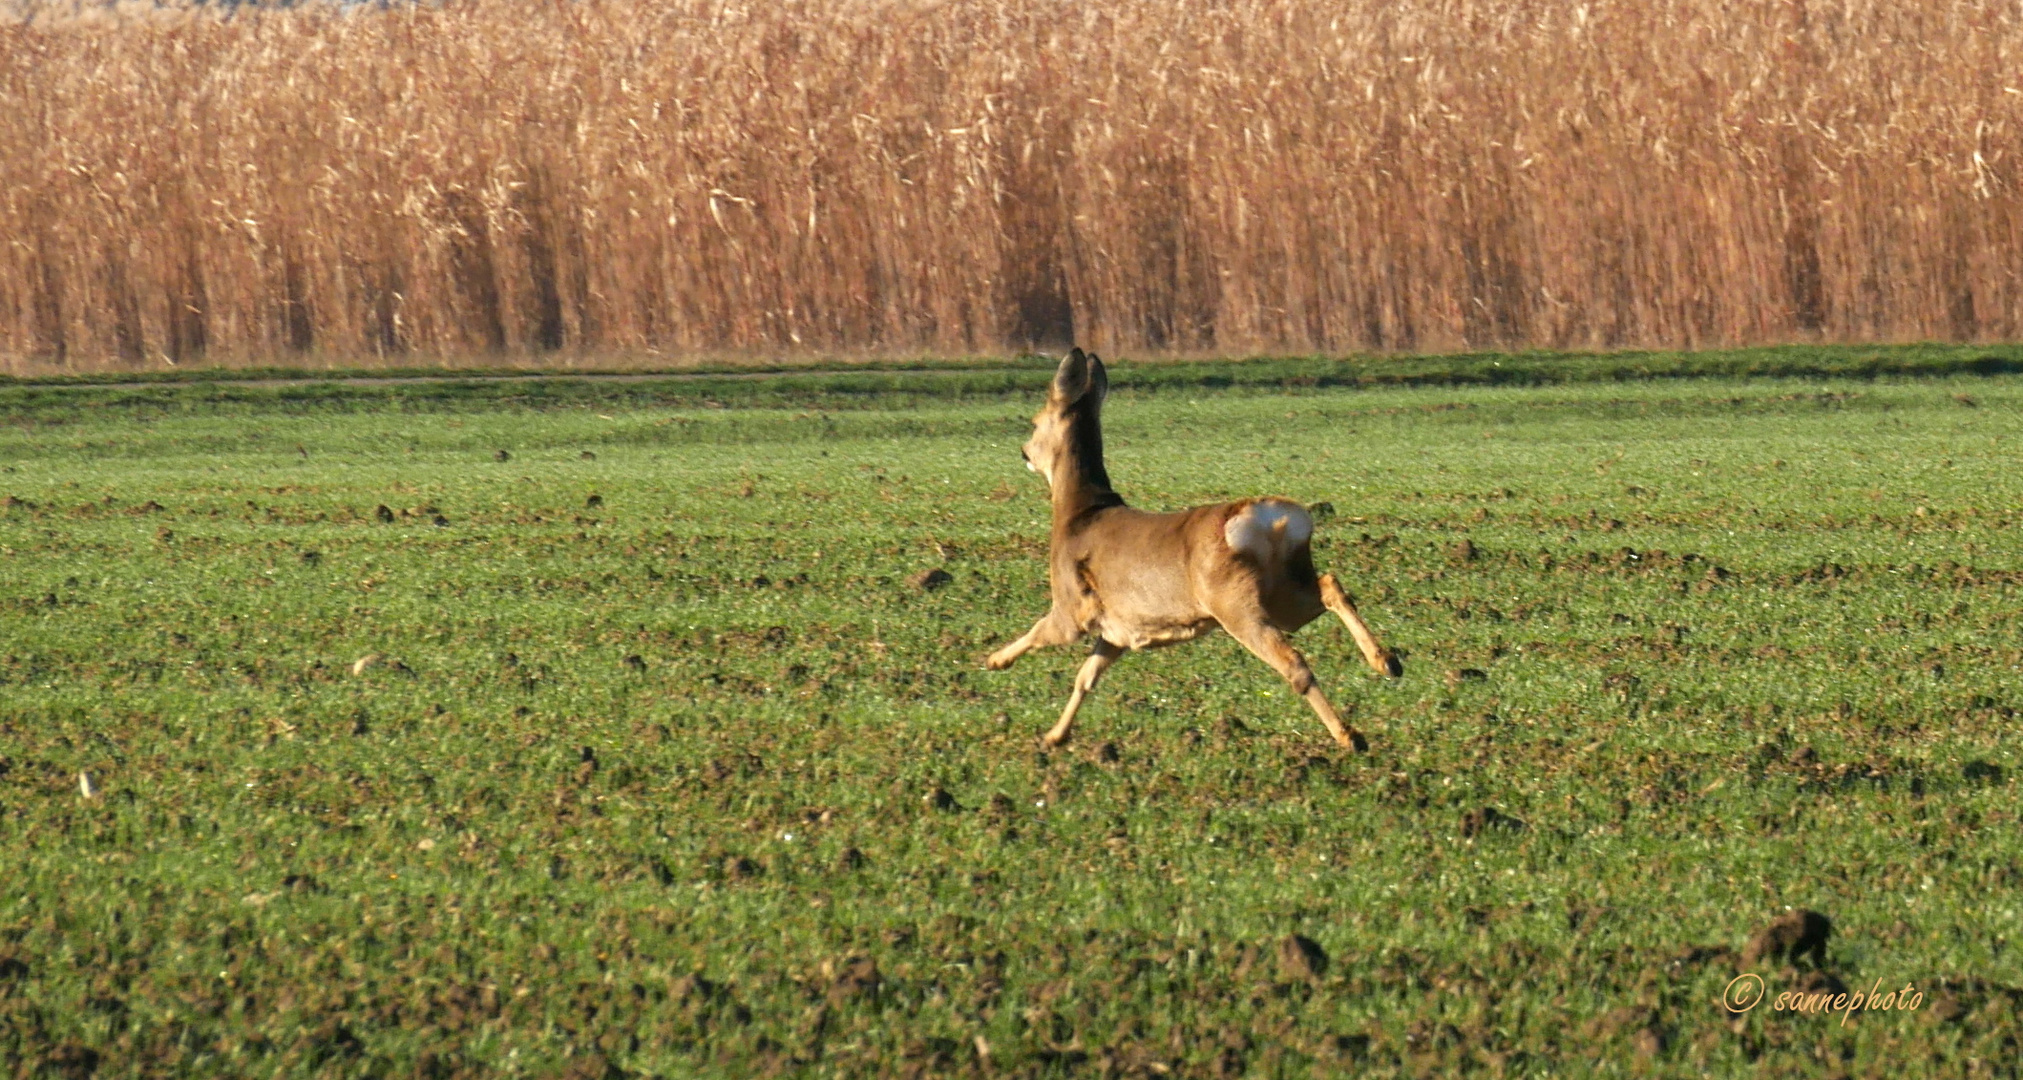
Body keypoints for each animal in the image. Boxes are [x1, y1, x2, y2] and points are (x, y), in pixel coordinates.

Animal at [983, 353, 1408, 752]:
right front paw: (1054, 736)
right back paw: (1387, 661)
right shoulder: (1118, 631)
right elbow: (1085, 678)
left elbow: (1039, 633)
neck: (1077, 513)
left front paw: (994, 660)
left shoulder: (1073, 607)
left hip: (1235, 603)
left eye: (1036, 421)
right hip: (1285, 592)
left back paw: (1350, 735)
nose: (1023, 452)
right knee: (1331, 585)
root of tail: (1274, 521)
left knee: (1294, 663)